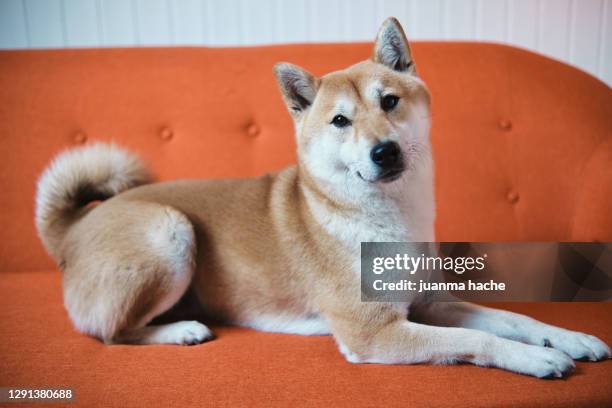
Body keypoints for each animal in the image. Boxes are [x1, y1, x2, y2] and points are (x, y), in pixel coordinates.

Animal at [37, 18, 608, 376]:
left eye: (390, 101)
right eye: (339, 121)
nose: (383, 150)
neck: (386, 217)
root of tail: (71, 229)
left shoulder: (427, 302)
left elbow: (517, 320)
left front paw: (569, 338)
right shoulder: (375, 332)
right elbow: (480, 340)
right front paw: (535, 359)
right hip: (169, 231)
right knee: (113, 335)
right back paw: (180, 331)